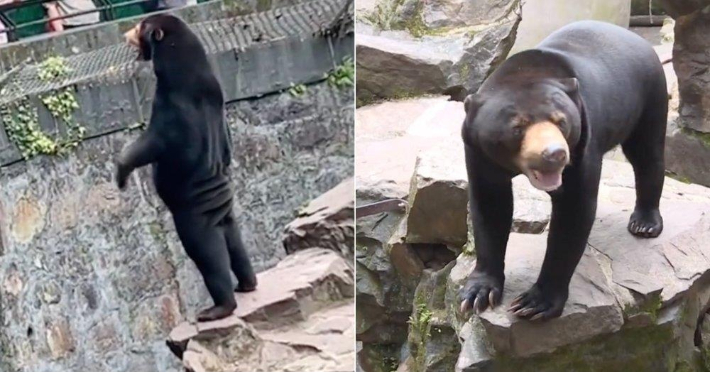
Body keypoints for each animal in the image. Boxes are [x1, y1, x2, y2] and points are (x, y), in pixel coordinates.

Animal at [117, 14, 258, 322]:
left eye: (140, 27)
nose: (124, 34)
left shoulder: (169, 109)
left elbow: (148, 146)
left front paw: (120, 175)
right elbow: (227, 145)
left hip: (194, 219)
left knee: (209, 256)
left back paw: (216, 308)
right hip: (227, 217)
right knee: (236, 245)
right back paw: (248, 284)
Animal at [458, 20, 672, 322]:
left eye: (561, 121)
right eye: (517, 127)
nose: (555, 154)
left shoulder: (582, 145)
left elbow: (573, 212)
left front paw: (534, 303)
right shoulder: (478, 150)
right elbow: (490, 206)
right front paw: (478, 294)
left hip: (649, 94)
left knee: (647, 154)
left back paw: (644, 223)